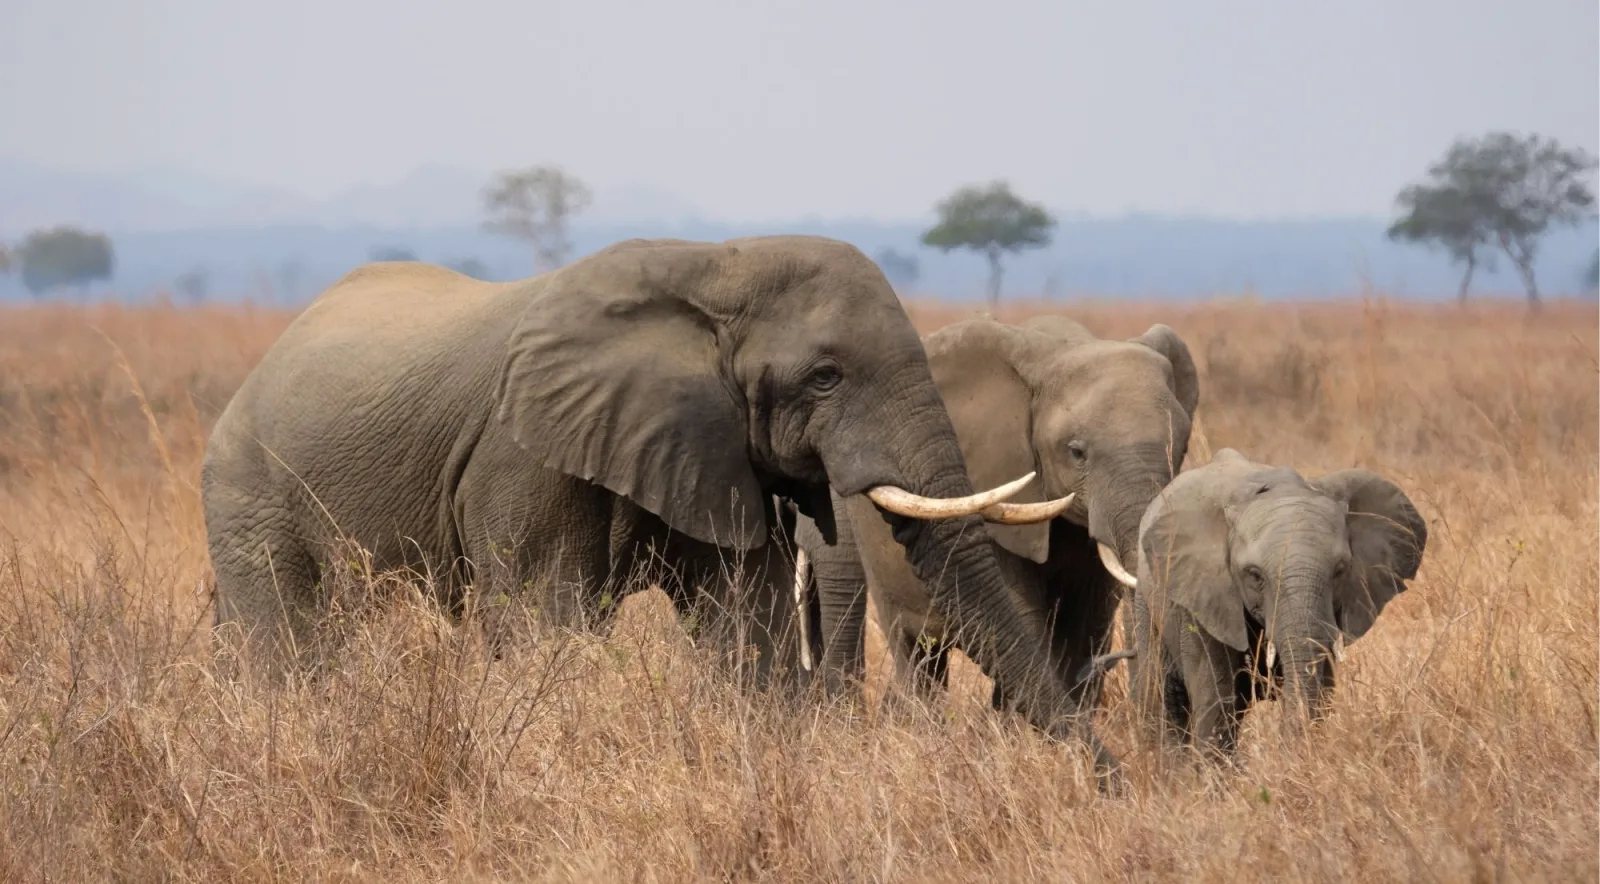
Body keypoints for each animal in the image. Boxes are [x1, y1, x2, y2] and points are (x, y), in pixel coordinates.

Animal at [201, 234, 1111, 747]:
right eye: (825, 376)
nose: (1099, 773)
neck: (717, 266)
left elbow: (744, 617)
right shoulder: (524, 452)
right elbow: (543, 614)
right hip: (247, 492)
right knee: (290, 641)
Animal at [1124, 447, 1428, 756]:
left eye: (1340, 570)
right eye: (1254, 574)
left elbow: (1322, 684)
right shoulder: (1201, 595)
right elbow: (1215, 697)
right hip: (1147, 604)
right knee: (1165, 697)